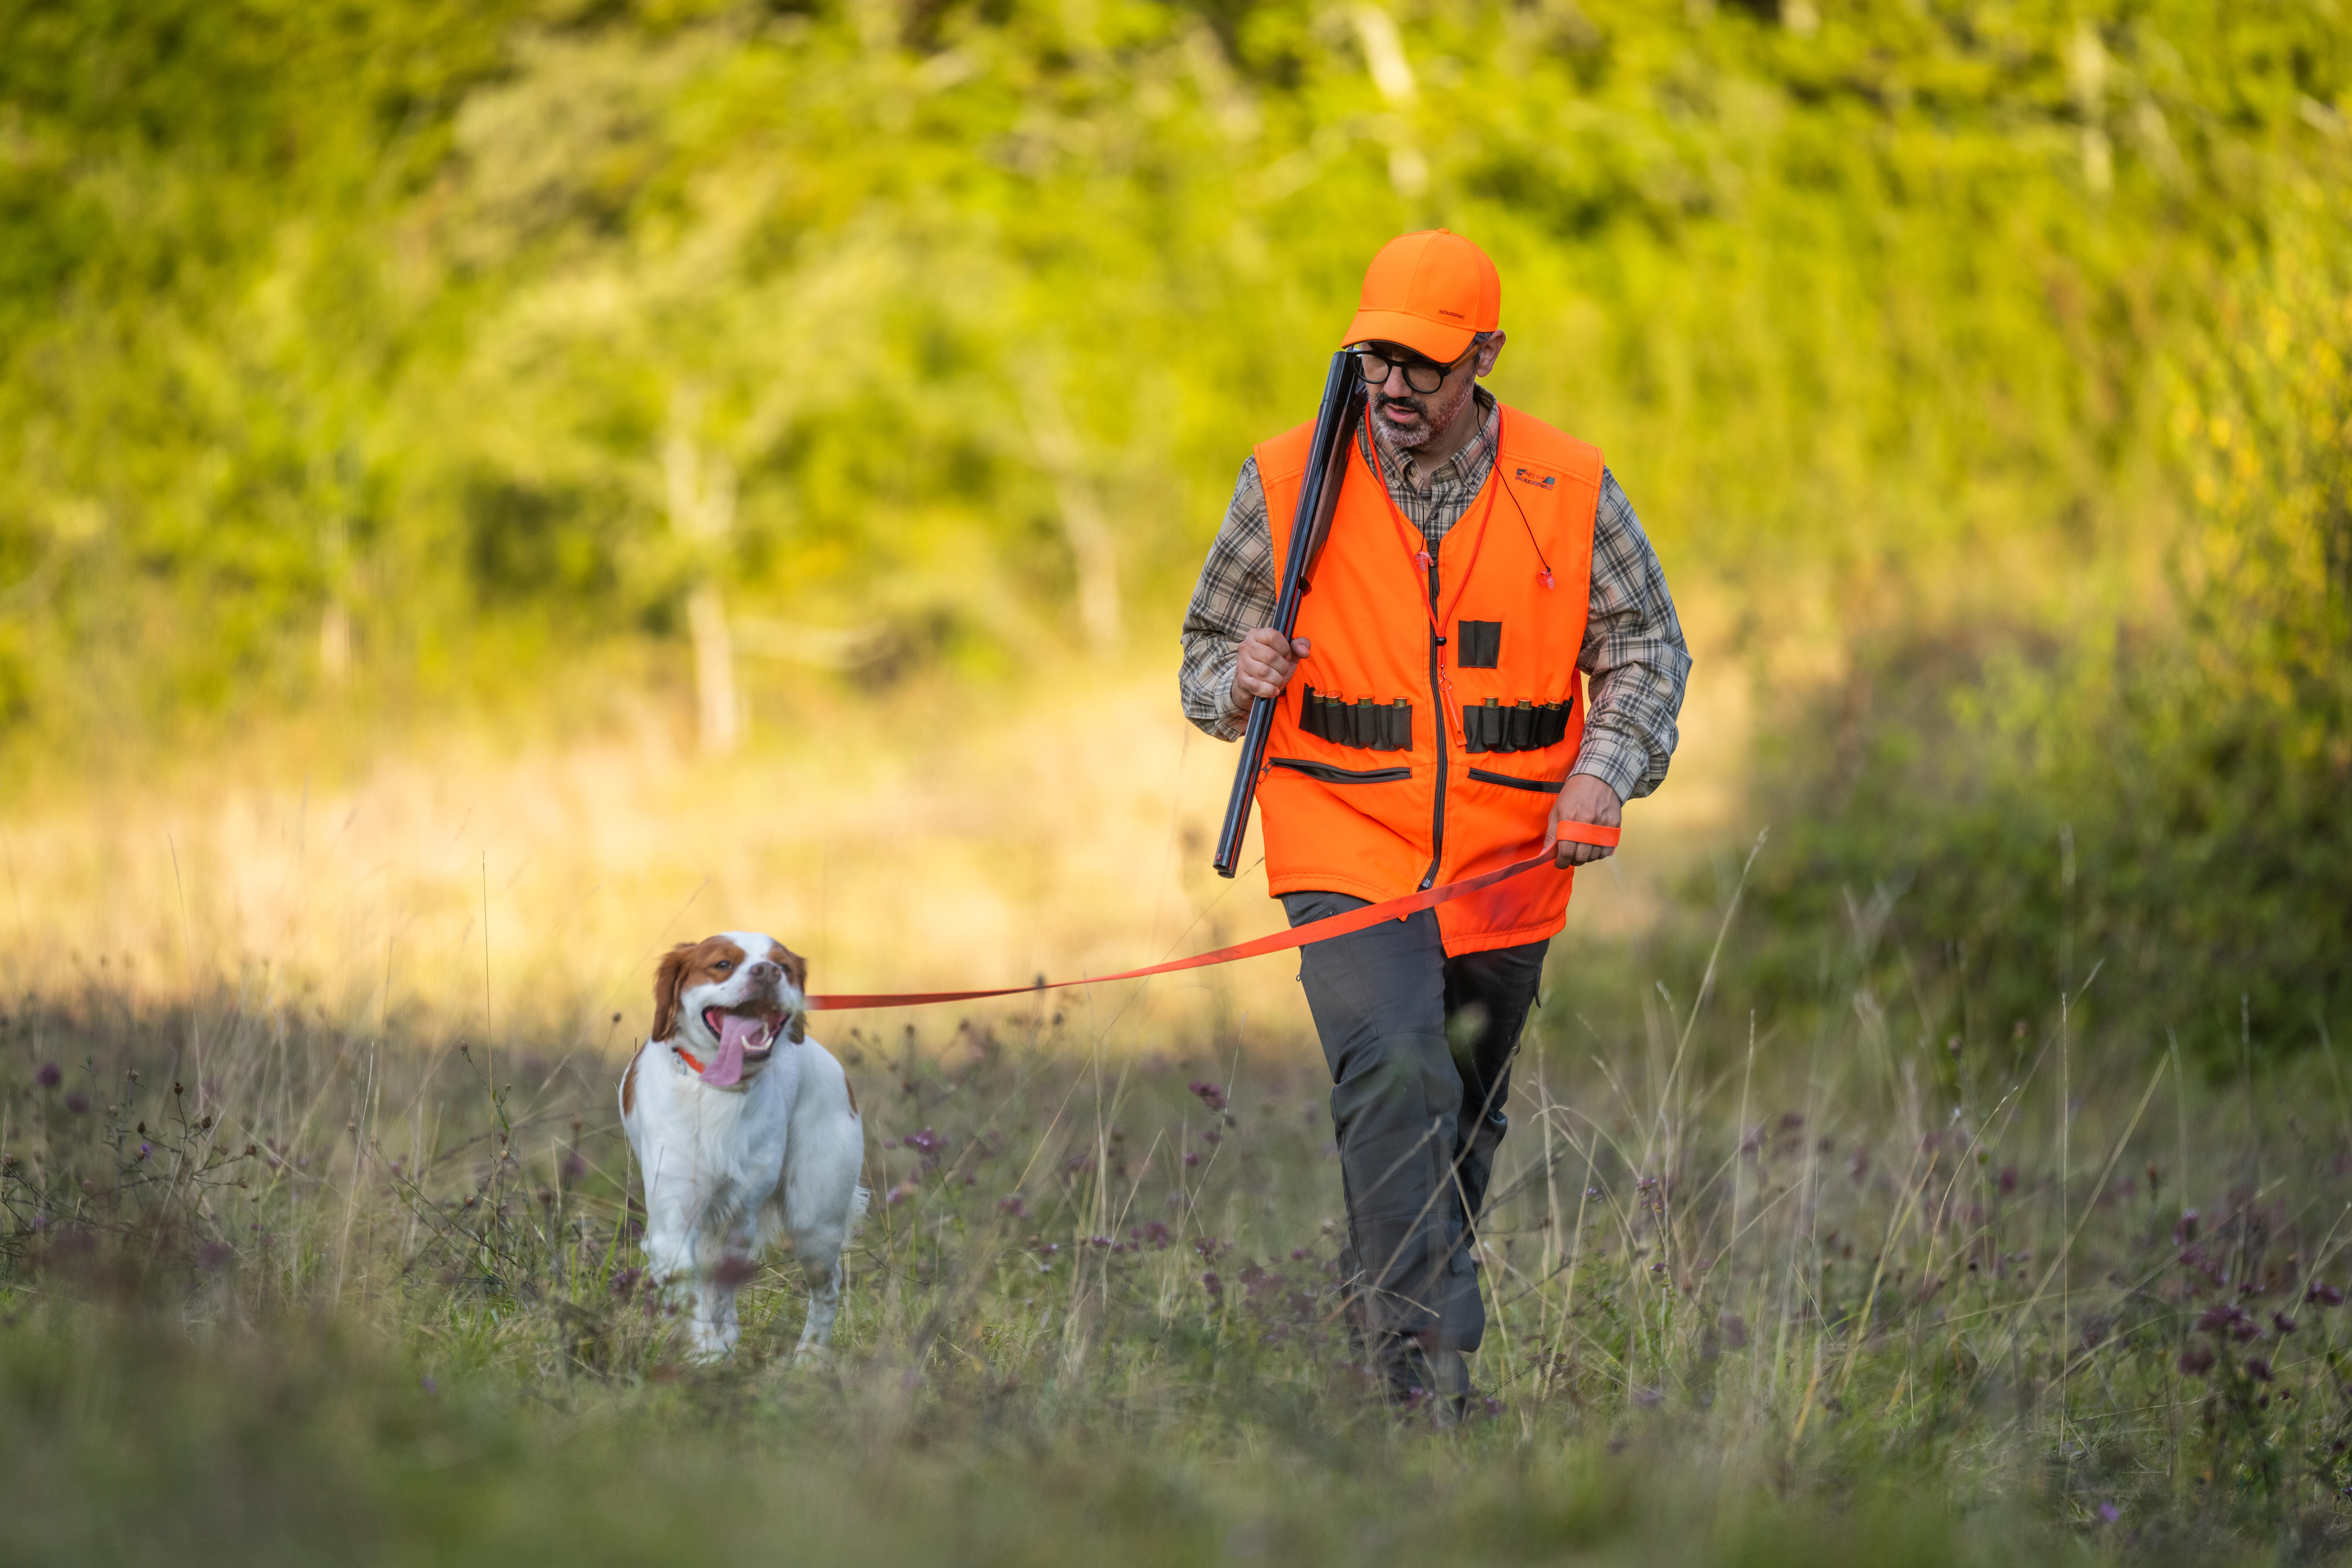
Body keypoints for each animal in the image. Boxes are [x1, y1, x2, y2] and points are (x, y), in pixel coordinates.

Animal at [616, 931, 865, 1363]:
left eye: (783, 966)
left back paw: (810, 1357)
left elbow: (716, 1289)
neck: (720, 1090)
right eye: (722, 965)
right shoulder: (674, 1219)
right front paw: (710, 1353)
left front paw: (717, 1348)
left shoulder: (740, 1212)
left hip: (815, 1218)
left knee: (828, 1283)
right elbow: (696, 1291)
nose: (767, 972)